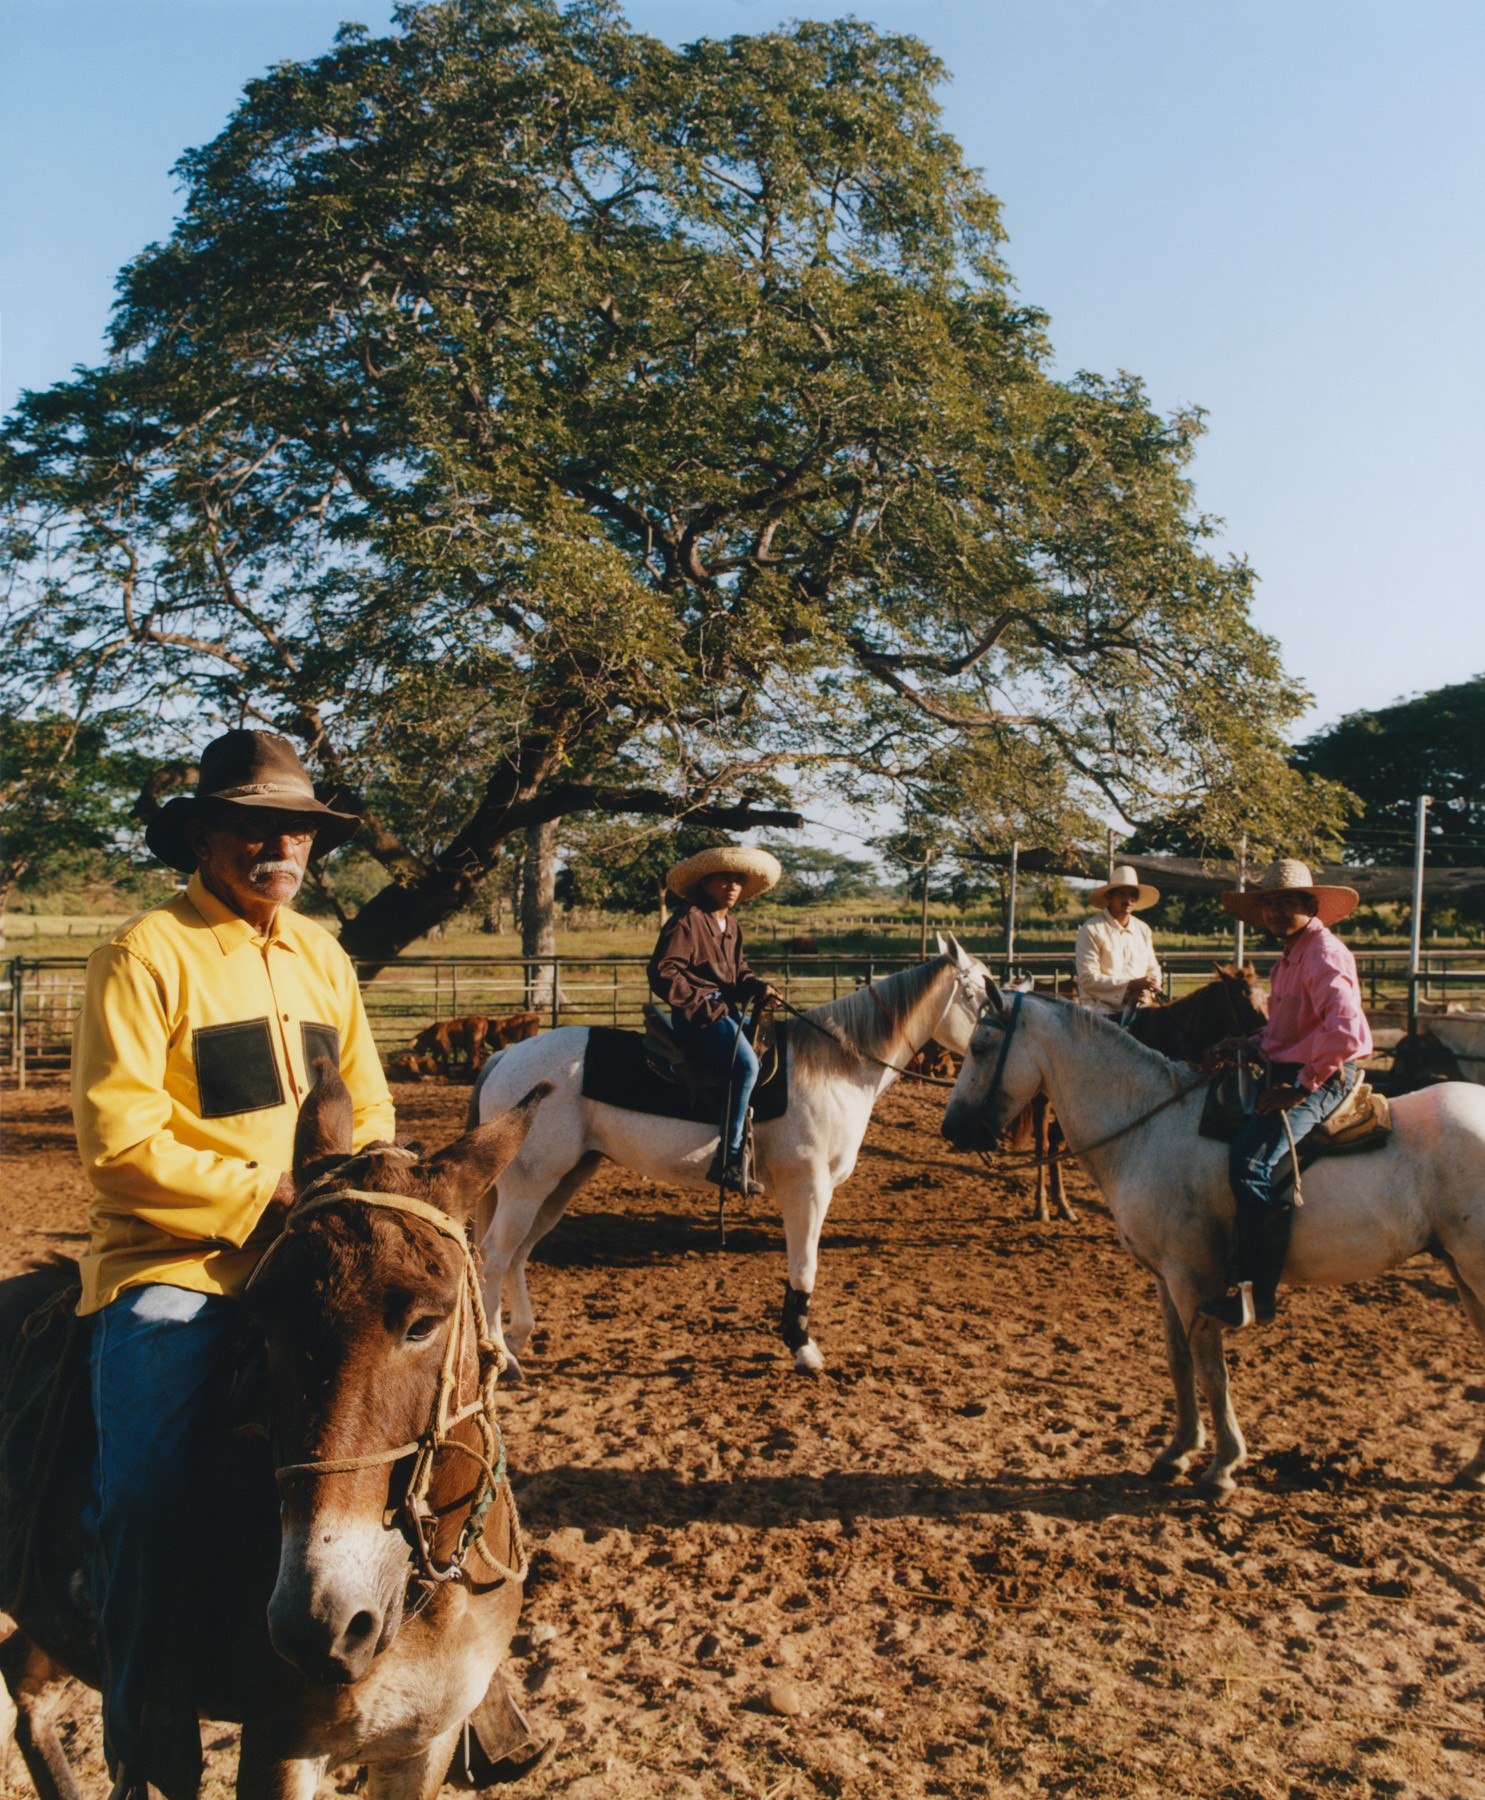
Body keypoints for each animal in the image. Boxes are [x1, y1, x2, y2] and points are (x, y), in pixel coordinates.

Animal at [0, 1065, 550, 1800]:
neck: (427, 1603)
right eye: (262, 1324)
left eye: (423, 1323)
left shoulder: (421, 1747)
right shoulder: (281, 1747)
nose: (317, 1622)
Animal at [468, 936, 993, 1368]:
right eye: (982, 997)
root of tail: (506, 1056)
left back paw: (518, 1336)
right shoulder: (808, 1189)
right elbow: (803, 1267)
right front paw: (802, 1347)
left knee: (517, 1254)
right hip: (528, 1185)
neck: (837, 1068)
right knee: (493, 1256)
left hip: (562, 1180)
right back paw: (502, 1358)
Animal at [993, 964, 1260, 1231]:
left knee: (1056, 1144)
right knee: (1044, 1145)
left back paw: (1064, 1205)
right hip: (1042, 1101)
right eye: (1243, 998)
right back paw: (1042, 1206)